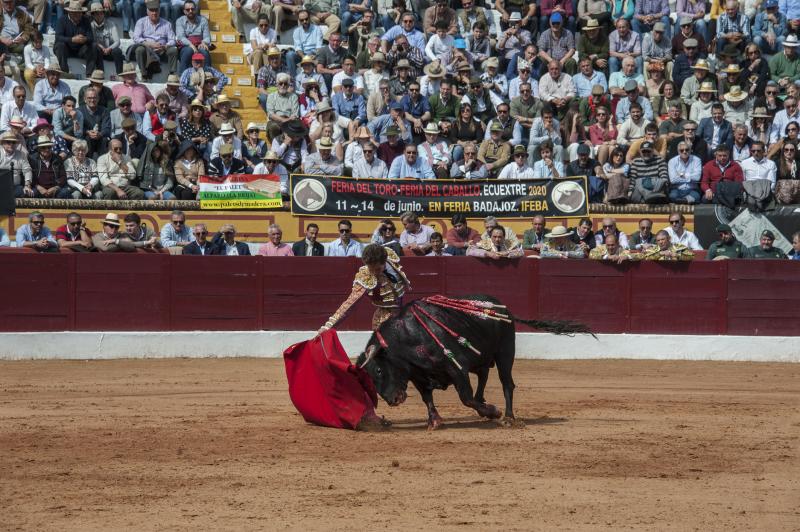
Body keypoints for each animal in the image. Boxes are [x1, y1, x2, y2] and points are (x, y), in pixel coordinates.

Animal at [356, 294, 588, 430]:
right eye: (369, 377)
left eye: (378, 369)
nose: (392, 400)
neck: (408, 337)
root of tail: (504, 308)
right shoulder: (417, 375)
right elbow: (427, 397)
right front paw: (434, 421)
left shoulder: (457, 367)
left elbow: (465, 397)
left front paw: (492, 411)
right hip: (481, 359)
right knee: (483, 376)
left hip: (505, 353)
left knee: (507, 383)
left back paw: (508, 417)